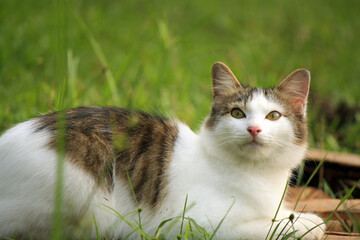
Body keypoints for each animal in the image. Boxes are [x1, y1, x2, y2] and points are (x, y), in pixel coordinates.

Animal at [0, 62, 324, 240]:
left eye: (273, 116)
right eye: (237, 113)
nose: (254, 129)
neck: (256, 174)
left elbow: (285, 216)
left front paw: (301, 218)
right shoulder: (198, 224)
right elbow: (267, 227)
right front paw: (304, 226)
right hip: (84, 191)